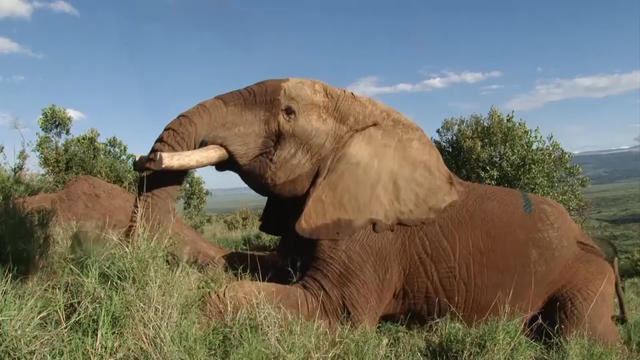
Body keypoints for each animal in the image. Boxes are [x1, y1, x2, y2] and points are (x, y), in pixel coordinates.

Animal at [130, 78, 624, 344]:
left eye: (288, 112)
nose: (142, 160)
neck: (363, 112)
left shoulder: (370, 234)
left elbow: (335, 310)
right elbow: (258, 264)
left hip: (586, 279)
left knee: (582, 337)